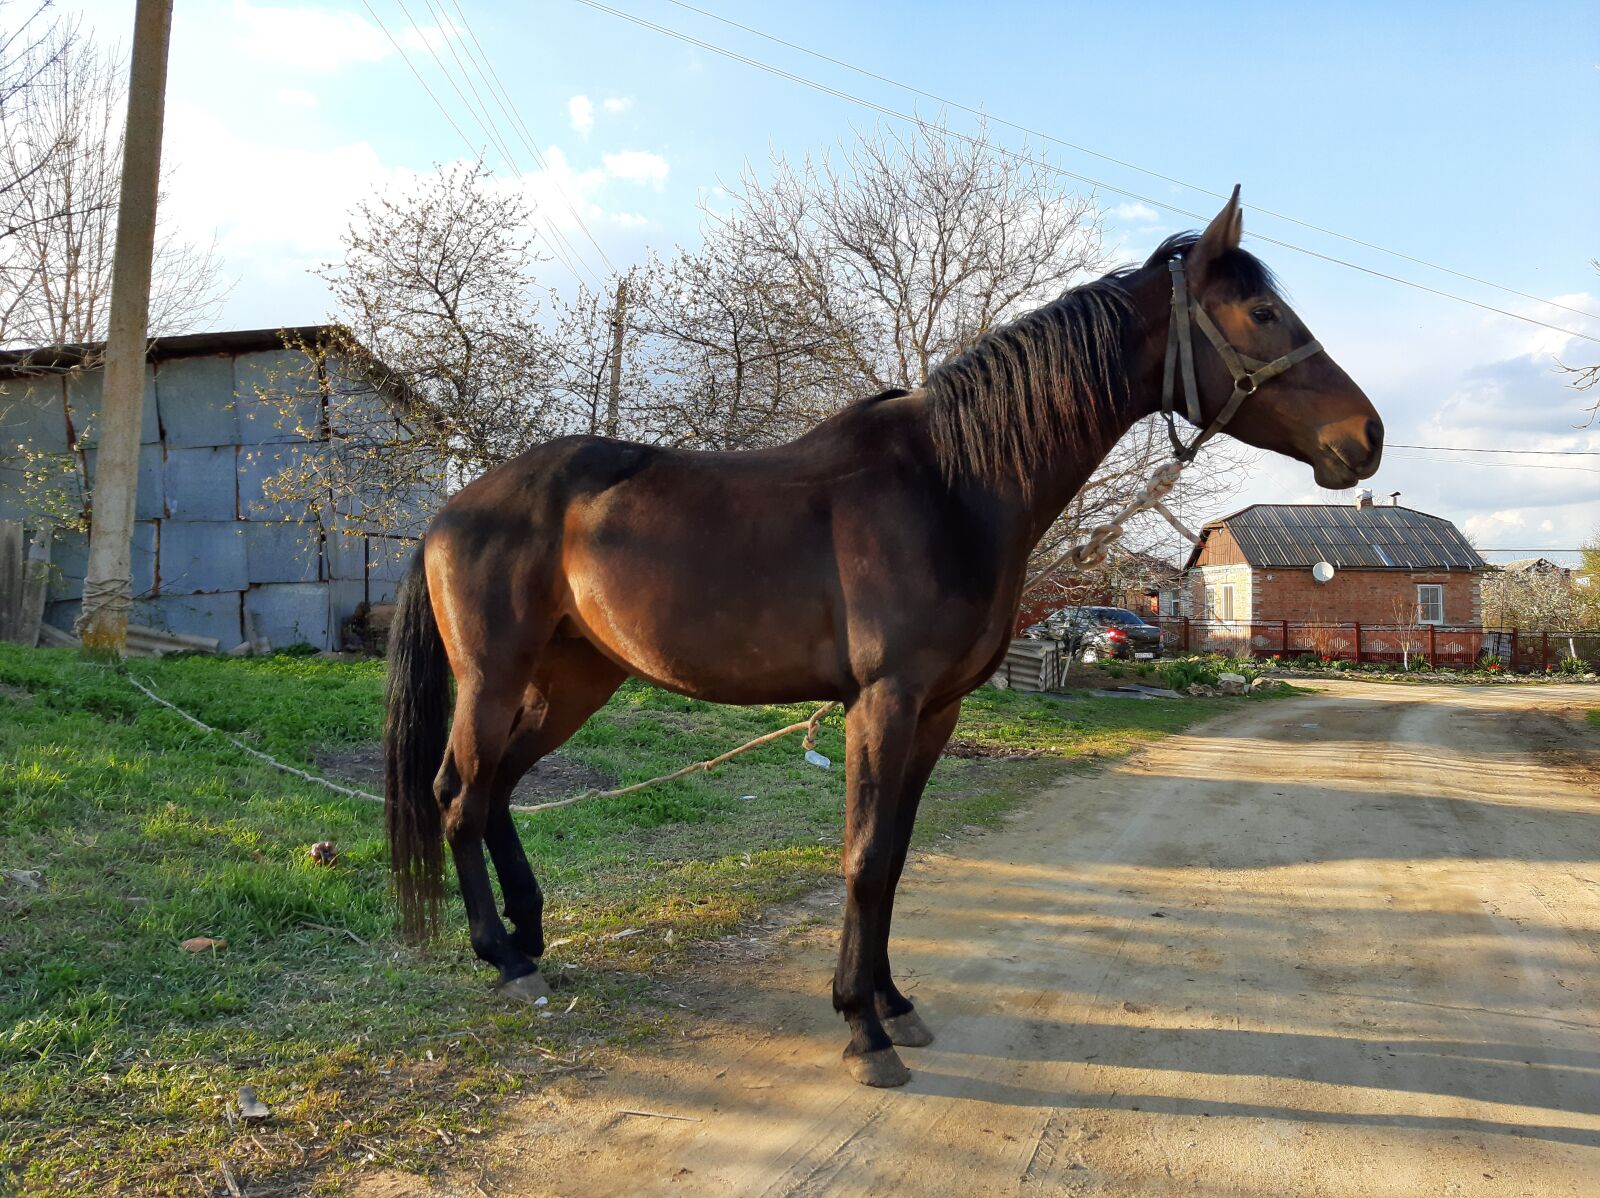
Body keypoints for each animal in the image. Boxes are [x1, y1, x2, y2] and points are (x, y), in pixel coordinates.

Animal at [383, 190, 1383, 1087]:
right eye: (1261, 312)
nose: (1366, 437)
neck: (951, 483)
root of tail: (453, 508)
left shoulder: (936, 713)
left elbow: (897, 857)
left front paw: (892, 1001)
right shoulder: (885, 703)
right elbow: (864, 860)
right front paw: (861, 1031)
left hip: (575, 678)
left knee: (496, 788)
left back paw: (529, 937)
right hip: (496, 676)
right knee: (458, 795)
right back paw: (503, 958)